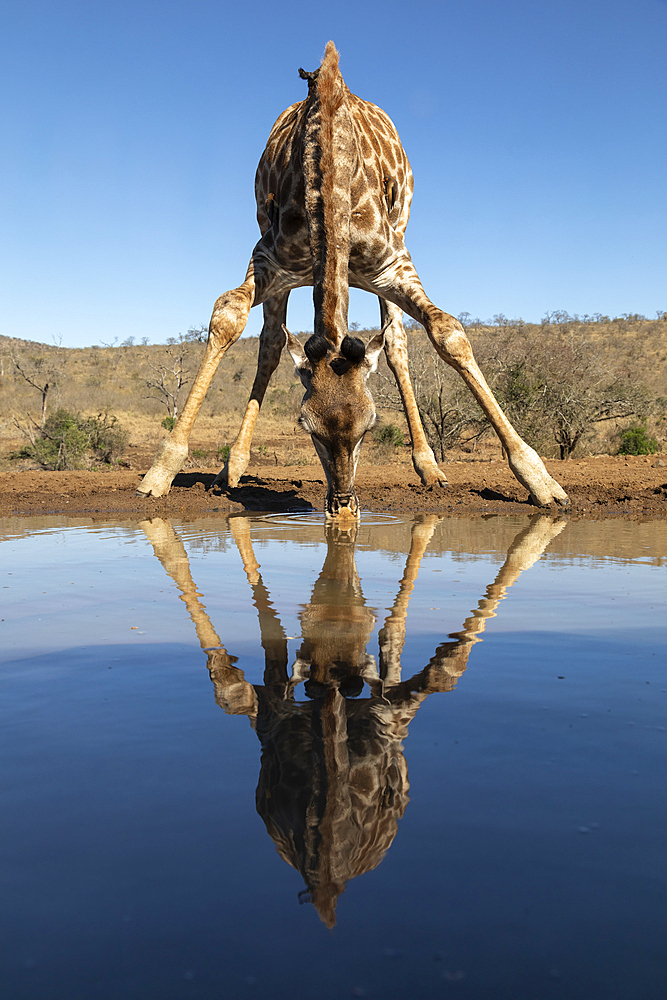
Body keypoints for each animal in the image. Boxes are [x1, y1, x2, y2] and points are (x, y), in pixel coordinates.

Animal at [137, 39, 568, 516]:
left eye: (370, 424)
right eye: (306, 426)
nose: (343, 505)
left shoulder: (393, 264)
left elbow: (448, 332)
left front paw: (540, 480)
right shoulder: (268, 259)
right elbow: (228, 317)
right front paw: (160, 471)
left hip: (398, 239)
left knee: (396, 343)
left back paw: (429, 468)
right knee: (270, 344)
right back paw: (232, 467)